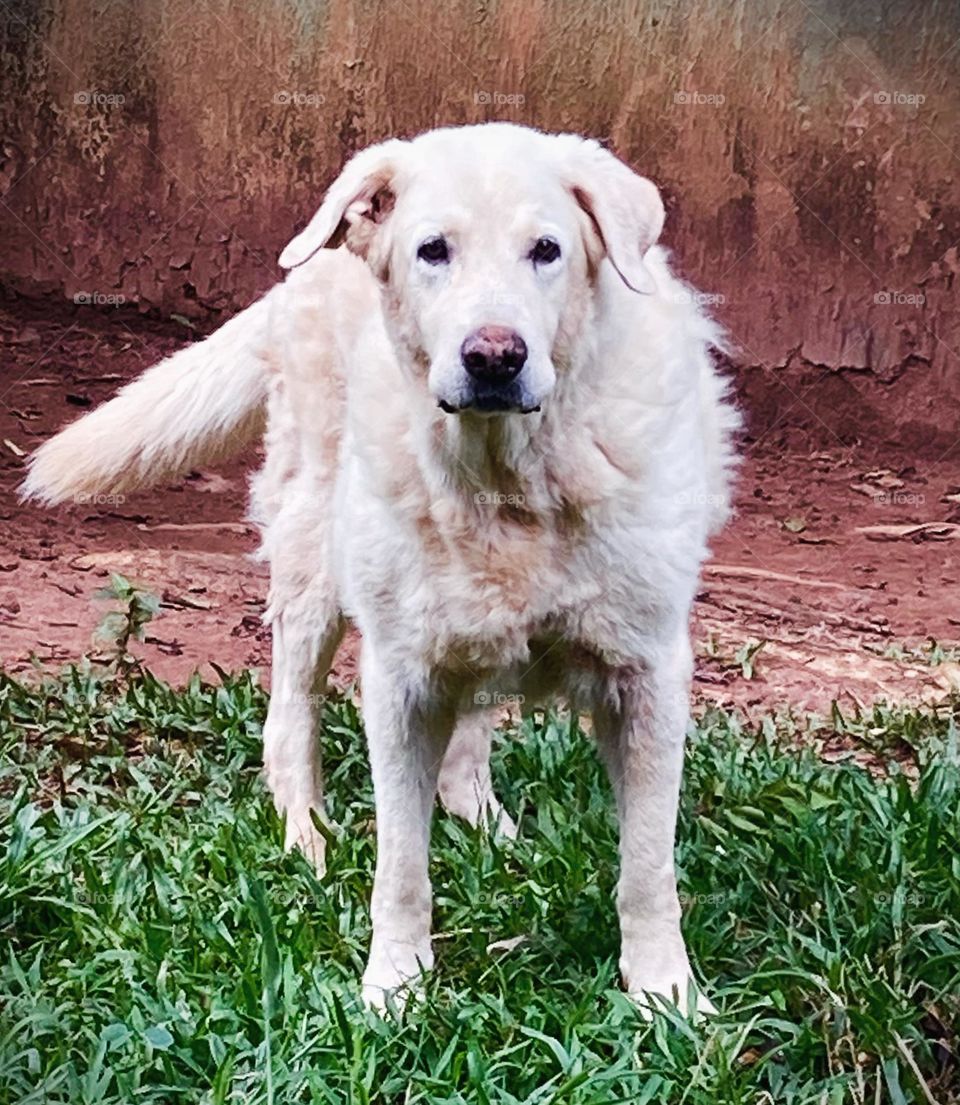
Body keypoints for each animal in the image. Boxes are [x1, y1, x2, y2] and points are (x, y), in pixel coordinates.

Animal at [26, 125, 737, 1012]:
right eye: (434, 250)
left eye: (547, 250)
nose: (494, 357)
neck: (506, 480)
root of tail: (312, 265)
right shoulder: (399, 680)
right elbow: (402, 864)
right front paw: (394, 988)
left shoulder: (647, 675)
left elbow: (647, 865)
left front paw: (664, 995)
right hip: (316, 565)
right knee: (288, 719)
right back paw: (308, 839)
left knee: (466, 738)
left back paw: (489, 829)